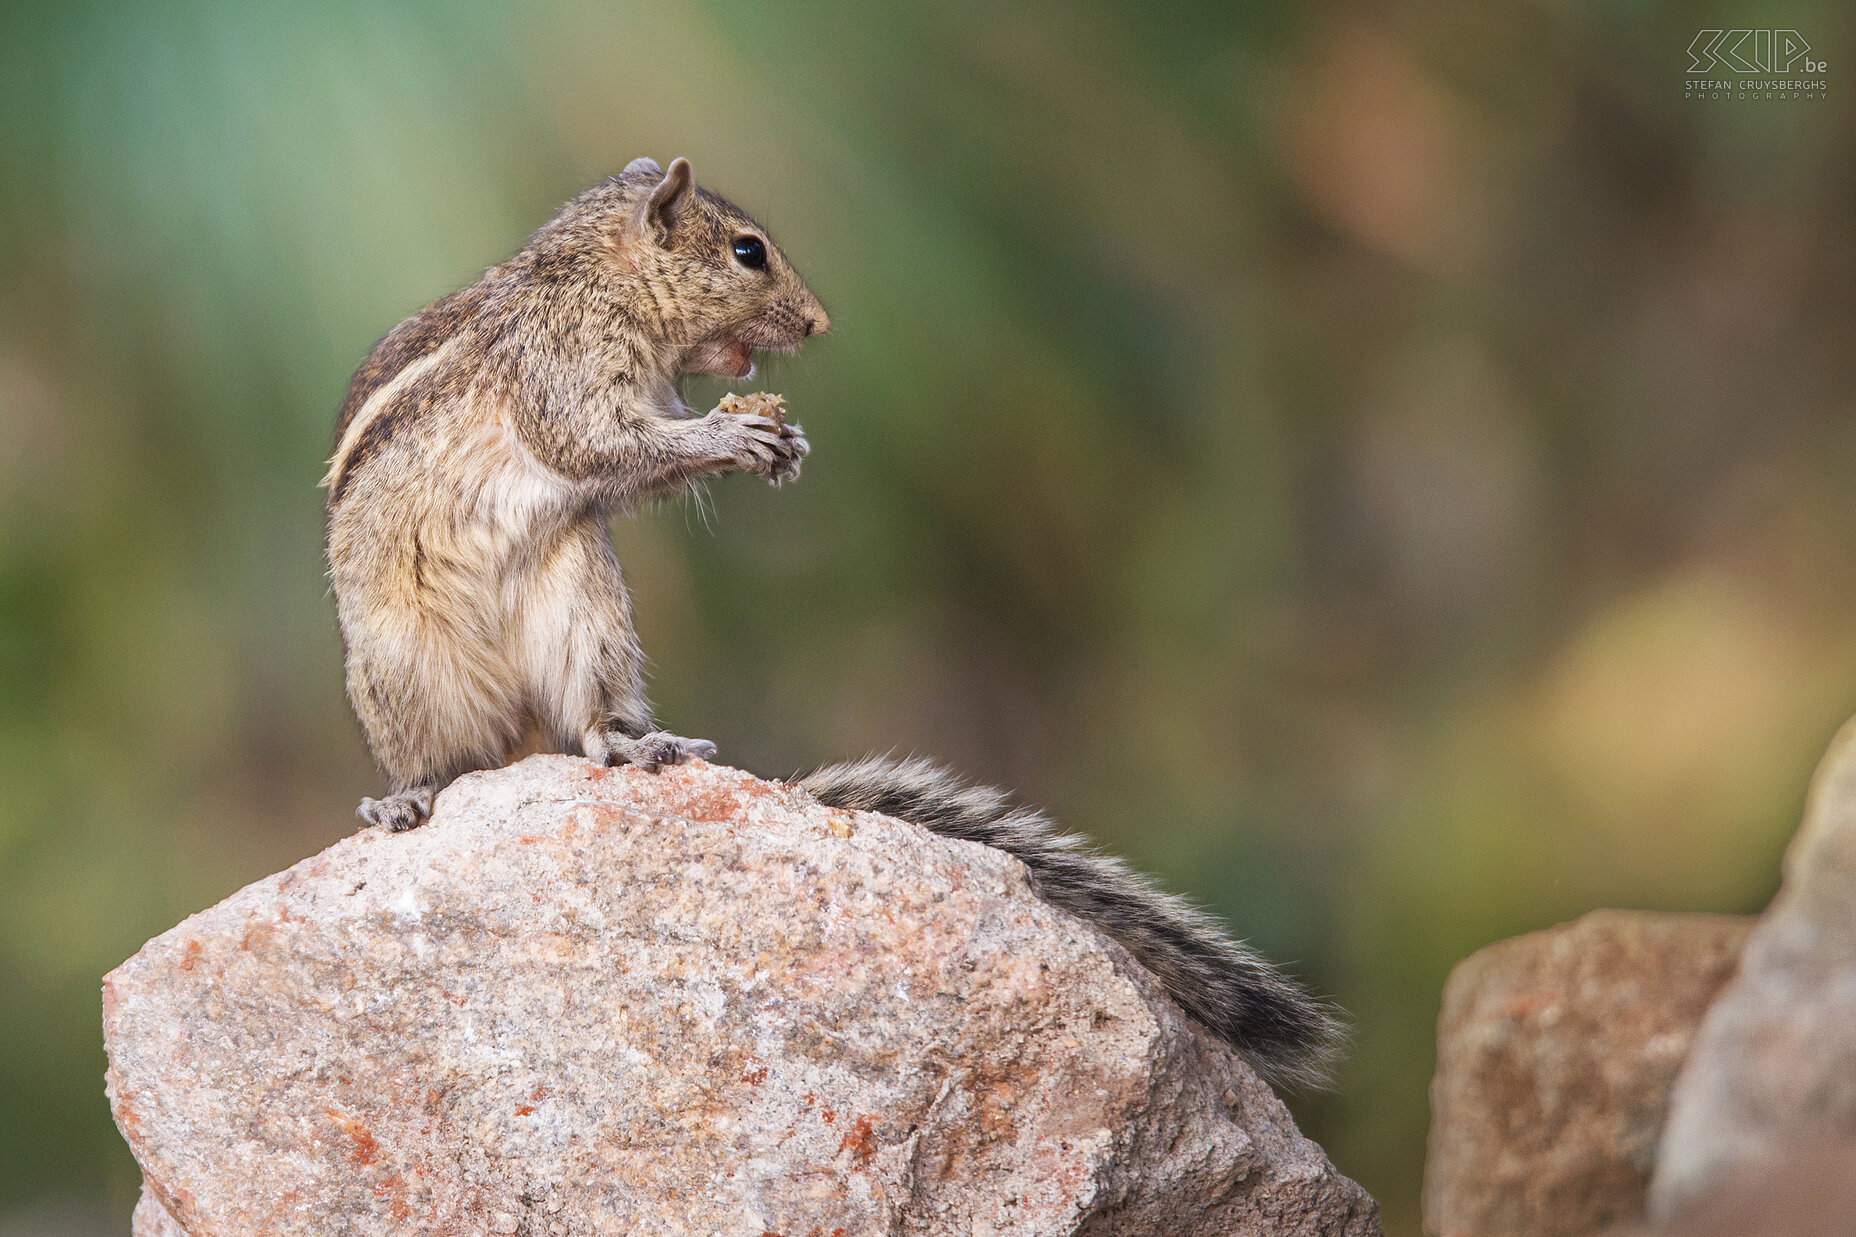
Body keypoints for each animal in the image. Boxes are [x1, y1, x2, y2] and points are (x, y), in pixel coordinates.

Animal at [319, 156, 1336, 1092]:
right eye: (748, 251)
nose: (818, 325)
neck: (595, 280)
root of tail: (518, 737)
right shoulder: (563, 370)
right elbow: (598, 444)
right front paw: (735, 435)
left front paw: (777, 442)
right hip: (406, 669)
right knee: (441, 758)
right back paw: (404, 798)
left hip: (583, 607)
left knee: (591, 717)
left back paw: (635, 743)